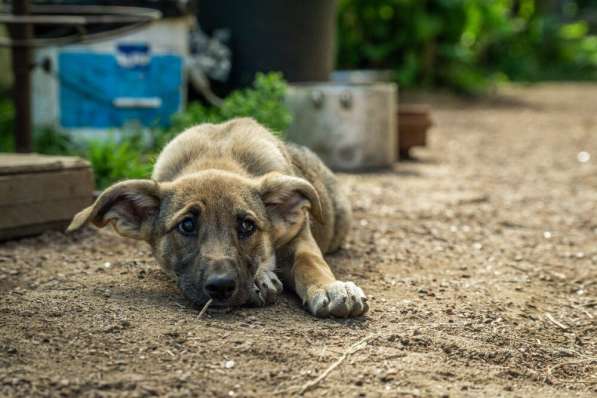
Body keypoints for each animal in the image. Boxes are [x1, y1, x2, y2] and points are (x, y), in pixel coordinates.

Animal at [70, 117, 368, 318]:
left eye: (247, 225)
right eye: (187, 225)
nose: (221, 286)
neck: (216, 157)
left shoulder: (300, 237)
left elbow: (310, 263)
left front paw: (330, 288)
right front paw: (262, 278)